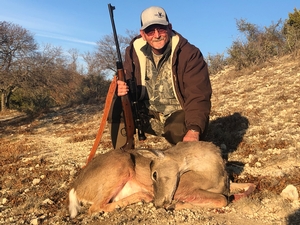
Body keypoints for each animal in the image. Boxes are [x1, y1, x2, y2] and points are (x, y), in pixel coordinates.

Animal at [68, 141, 255, 218]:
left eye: (155, 174)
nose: (158, 204)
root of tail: (75, 188)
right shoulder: (185, 189)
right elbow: (222, 200)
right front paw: (176, 205)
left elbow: (250, 185)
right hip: (120, 165)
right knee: (94, 208)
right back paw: (145, 197)